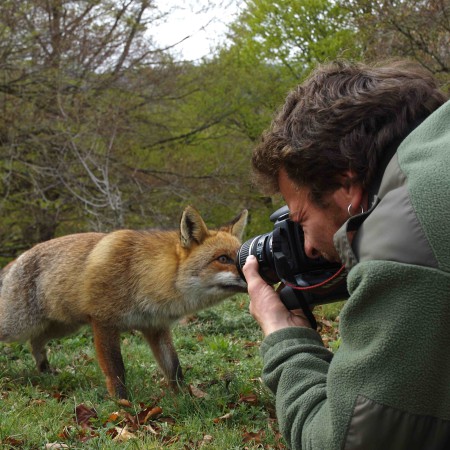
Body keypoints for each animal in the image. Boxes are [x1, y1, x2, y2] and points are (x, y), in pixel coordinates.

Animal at [0, 206, 248, 400]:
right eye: (223, 259)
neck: (143, 275)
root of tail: (17, 259)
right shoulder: (103, 322)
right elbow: (116, 369)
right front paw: (123, 406)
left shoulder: (155, 327)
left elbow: (174, 368)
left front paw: (185, 398)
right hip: (19, 326)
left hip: (63, 326)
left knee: (36, 341)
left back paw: (44, 370)